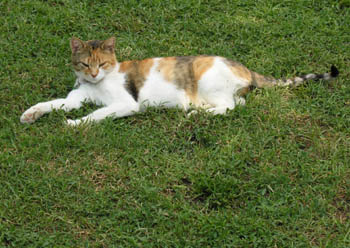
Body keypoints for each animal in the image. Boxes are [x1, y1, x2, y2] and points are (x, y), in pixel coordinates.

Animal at [19, 36, 340, 126]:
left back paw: (195, 112)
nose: (94, 74)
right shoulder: (75, 98)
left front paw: (74, 124)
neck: (96, 86)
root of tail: (247, 69)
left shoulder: (126, 103)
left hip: (208, 79)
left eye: (103, 64)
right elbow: (52, 103)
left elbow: (96, 114)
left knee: (232, 107)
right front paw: (31, 114)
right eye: (85, 64)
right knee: (238, 103)